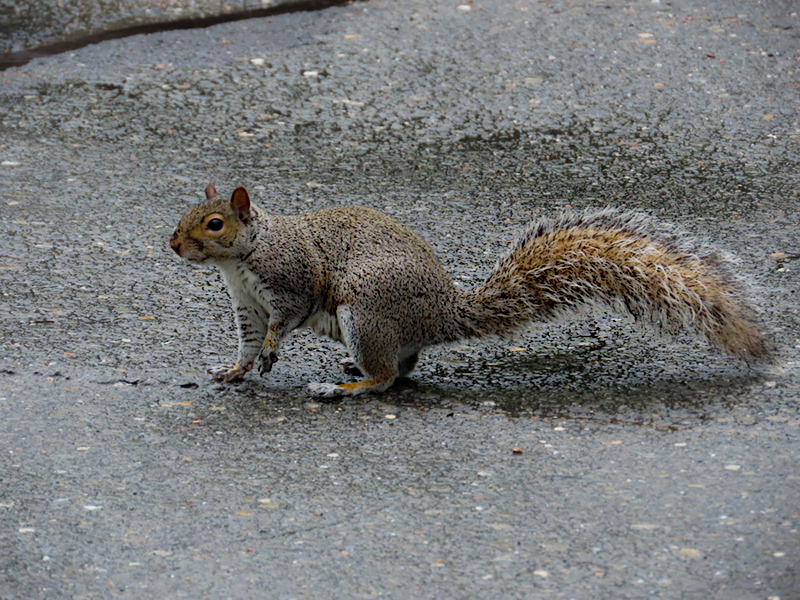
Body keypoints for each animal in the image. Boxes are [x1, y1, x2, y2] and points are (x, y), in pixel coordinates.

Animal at [170, 183, 776, 398]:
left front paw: (272, 353)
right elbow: (248, 342)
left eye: (215, 224)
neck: (242, 260)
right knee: (405, 366)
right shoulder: (246, 305)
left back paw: (346, 386)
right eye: (187, 214)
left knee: (388, 378)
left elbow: (282, 323)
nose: (172, 244)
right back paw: (349, 370)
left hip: (364, 313)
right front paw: (235, 370)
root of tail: (444, 314)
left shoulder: (290, 281)